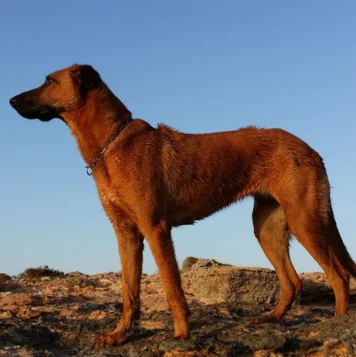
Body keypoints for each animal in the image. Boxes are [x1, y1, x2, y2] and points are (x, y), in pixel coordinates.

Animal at [10, 63, 356, 344]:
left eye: (49, 80)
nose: (11, 100)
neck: (112, 142)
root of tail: (310, 148)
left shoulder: (156, 229)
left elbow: (172, 288)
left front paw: (181, 334)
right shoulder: (126, 234)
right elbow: (129, 292)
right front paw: (120, 335)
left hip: (305, 220)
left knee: (338, 275)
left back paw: (336, 323)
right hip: (267, 229)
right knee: (293, 282)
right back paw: (270, 320)